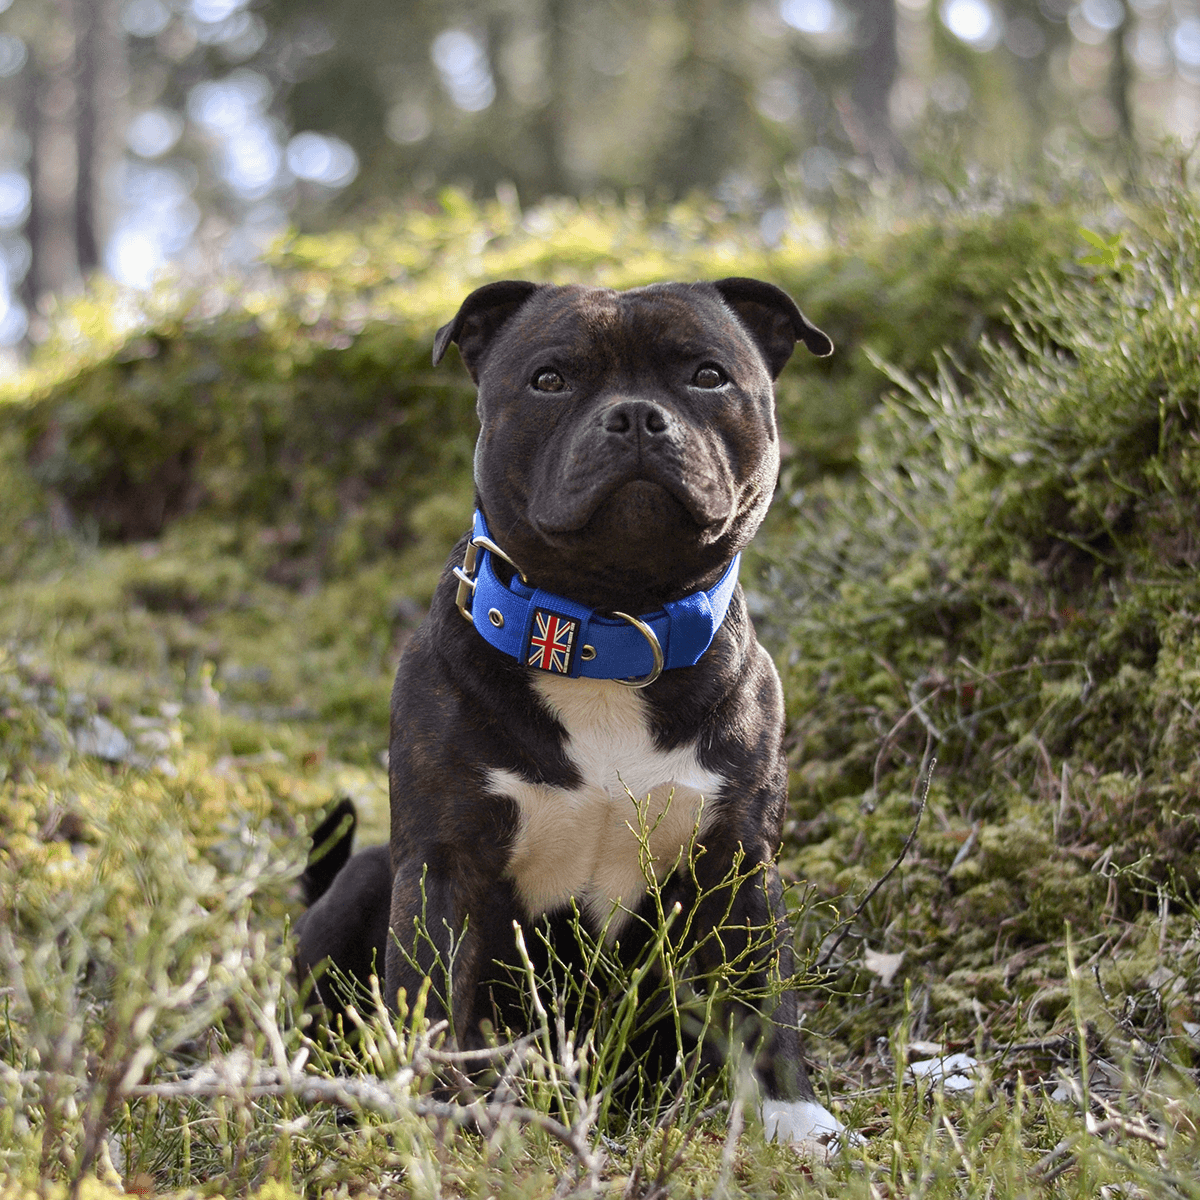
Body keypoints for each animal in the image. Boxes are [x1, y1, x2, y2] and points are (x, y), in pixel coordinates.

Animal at [297, 278, 844, 1142]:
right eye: (549, 379)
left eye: (708, 376)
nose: (636, 416)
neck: (608, 632)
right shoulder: (443, 864)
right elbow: (432, 999)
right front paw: (441, 1116)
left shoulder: (740, 860)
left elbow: (766, 996)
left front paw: (795, 1120)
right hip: (363, 881)